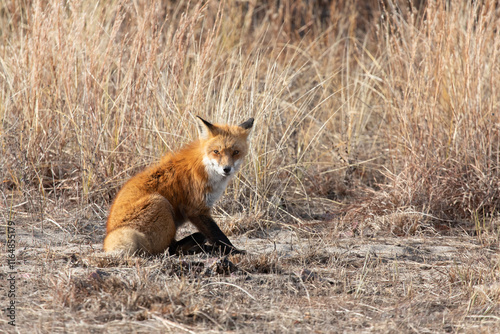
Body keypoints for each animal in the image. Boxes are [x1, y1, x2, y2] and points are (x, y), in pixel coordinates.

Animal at [102, 117, 254, 256]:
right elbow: (218, 235)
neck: (205, 168)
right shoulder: (196, 209)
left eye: (236, 152)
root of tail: (110, 234)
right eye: (216, 151)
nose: (226, 169)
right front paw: (235, 251)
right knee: (168, 249)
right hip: (160, 202)